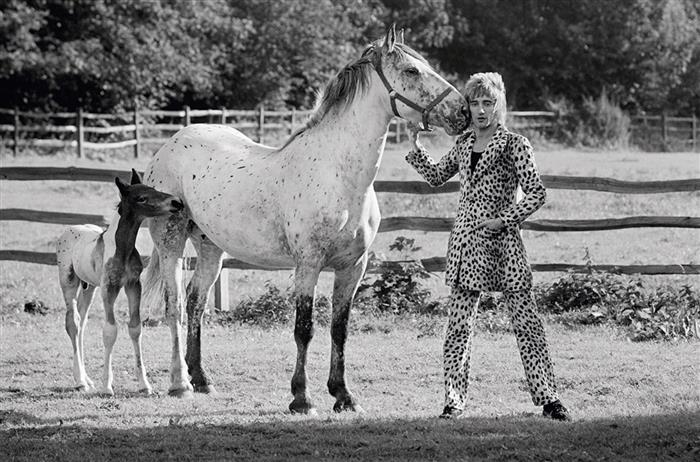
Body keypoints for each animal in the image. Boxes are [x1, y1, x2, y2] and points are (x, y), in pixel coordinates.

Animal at [57, 170, 182, 394]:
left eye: (153, 189)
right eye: (142, 198)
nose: (176, 202)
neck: (122, 249)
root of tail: (69, 230)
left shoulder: (133, 285)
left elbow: (135, 328)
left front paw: (144, 385)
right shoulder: (109, 288)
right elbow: (110, 330)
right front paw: (107, 386)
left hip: (89, 287)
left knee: (82, 322)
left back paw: (87, 379)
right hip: (69, 282)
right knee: (73, 322)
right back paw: (80, 381)